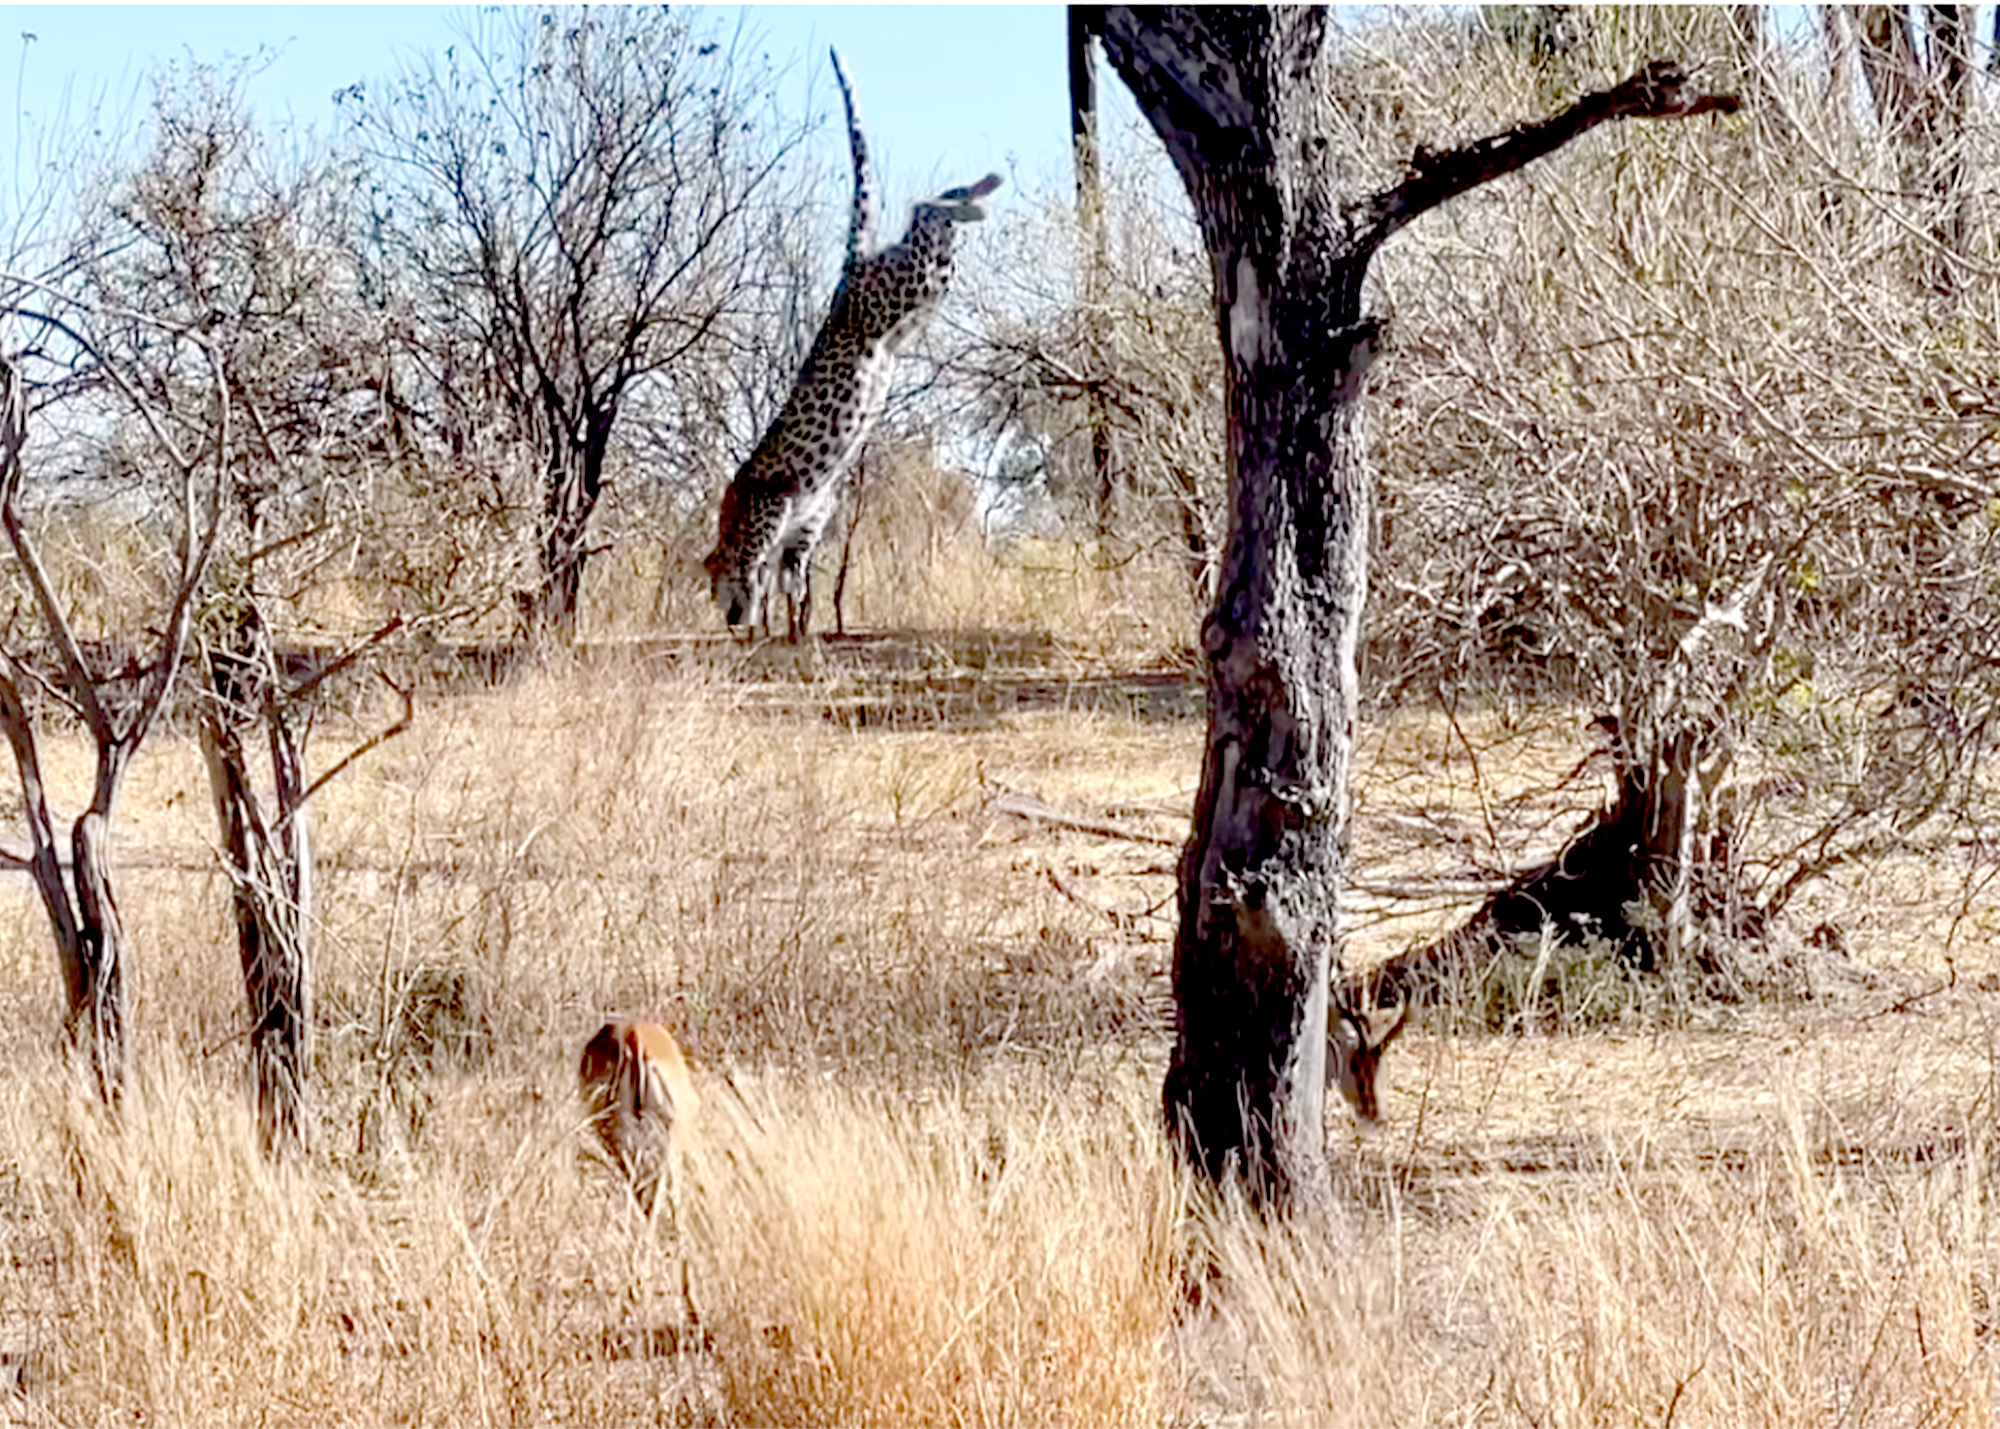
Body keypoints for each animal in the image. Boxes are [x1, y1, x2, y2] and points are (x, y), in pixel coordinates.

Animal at [704, 48, 1000, 640]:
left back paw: (975, 196)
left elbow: (753, 559)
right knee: (936, 229)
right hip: (920, 295)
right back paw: (981, 192)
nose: (724, 618)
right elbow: (793, 571)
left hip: (903, 285)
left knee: (923, 208)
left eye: (709, 589)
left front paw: (757, 595)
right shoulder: (809, 516)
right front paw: (792, 618)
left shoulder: (767, 503)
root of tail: (849, 272)